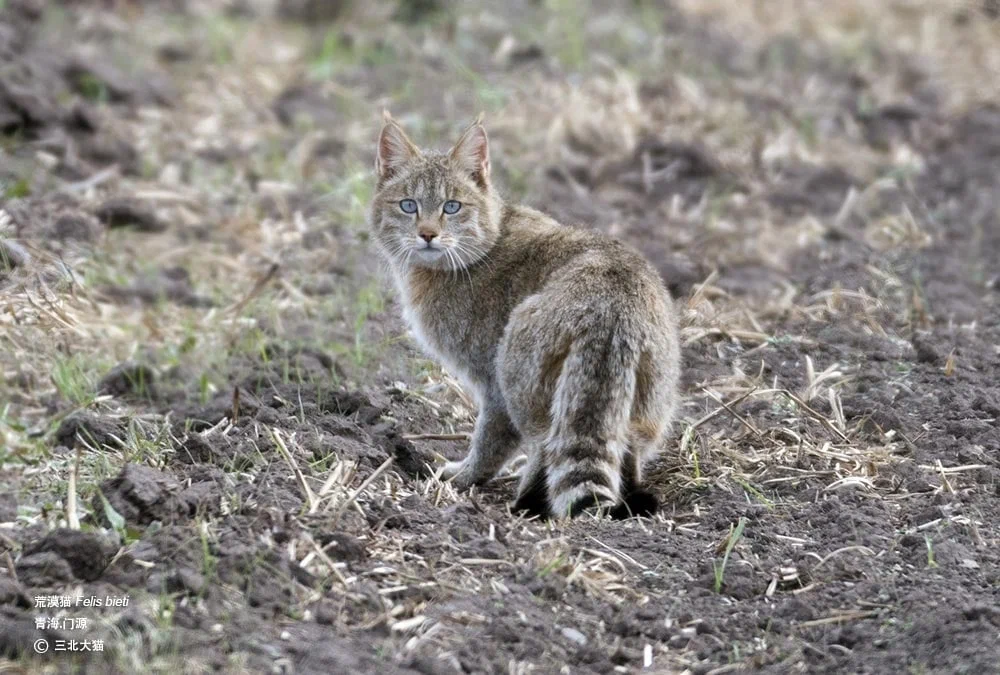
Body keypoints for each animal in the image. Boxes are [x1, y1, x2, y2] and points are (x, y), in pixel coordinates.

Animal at [372, 113, 684, 520]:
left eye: (452, 207)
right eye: (408, 205)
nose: (427, 234)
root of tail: (609, 310)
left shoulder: (492, 385)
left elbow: (490, 440)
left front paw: (463, 477)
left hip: (519, 372)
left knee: (543, 442)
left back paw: (526, 502)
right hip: (649, 401)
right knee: (623, 448)